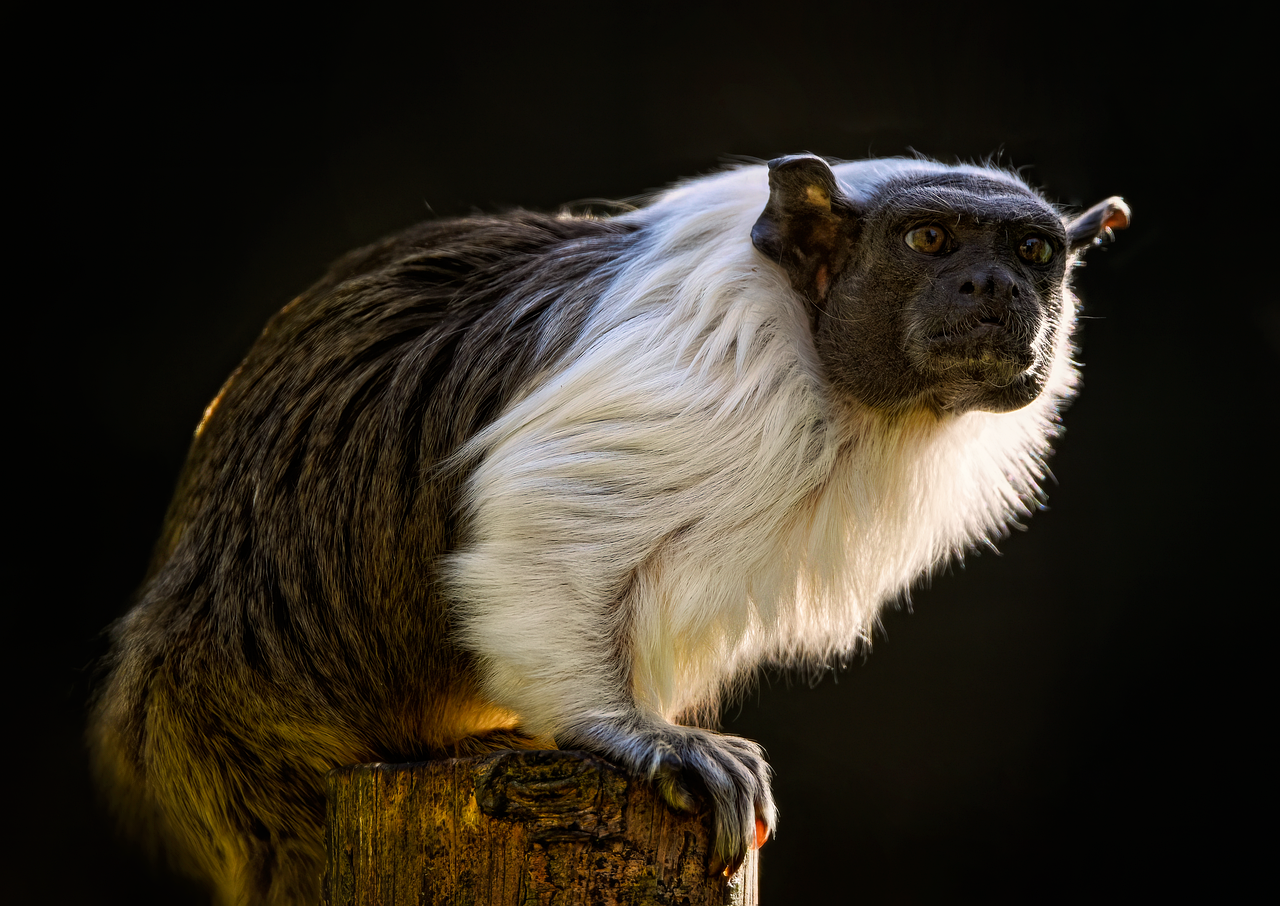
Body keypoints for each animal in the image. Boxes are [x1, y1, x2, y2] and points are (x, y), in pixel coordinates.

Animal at [89, 153, 1129, 905]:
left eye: (1034, 254)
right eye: (930, 238)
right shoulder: (711, 375)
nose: (993, 289)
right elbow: (545, 500)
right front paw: (628, 731)